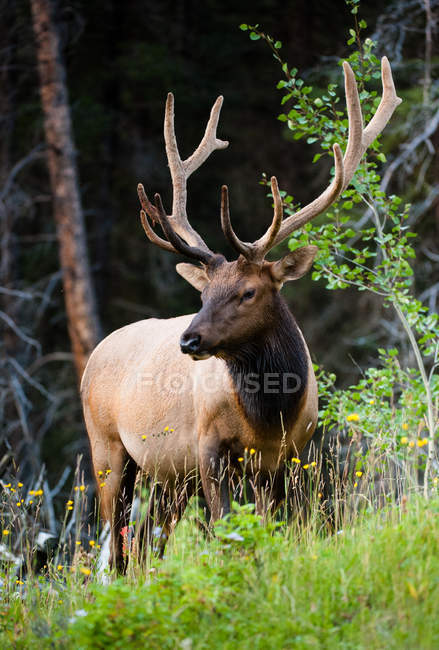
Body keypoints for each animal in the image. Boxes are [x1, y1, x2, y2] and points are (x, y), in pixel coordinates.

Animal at [81, 58, 402, 568]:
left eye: (248, 292)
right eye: (204, 294)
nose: (189, 340)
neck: (267, 415)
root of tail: (94, 354)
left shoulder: (286, 455)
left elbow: (268, 532)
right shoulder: (206, 447)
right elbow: (227, 532)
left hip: (170, 478)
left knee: (148, 543)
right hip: (108, 448)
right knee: (117, 548)